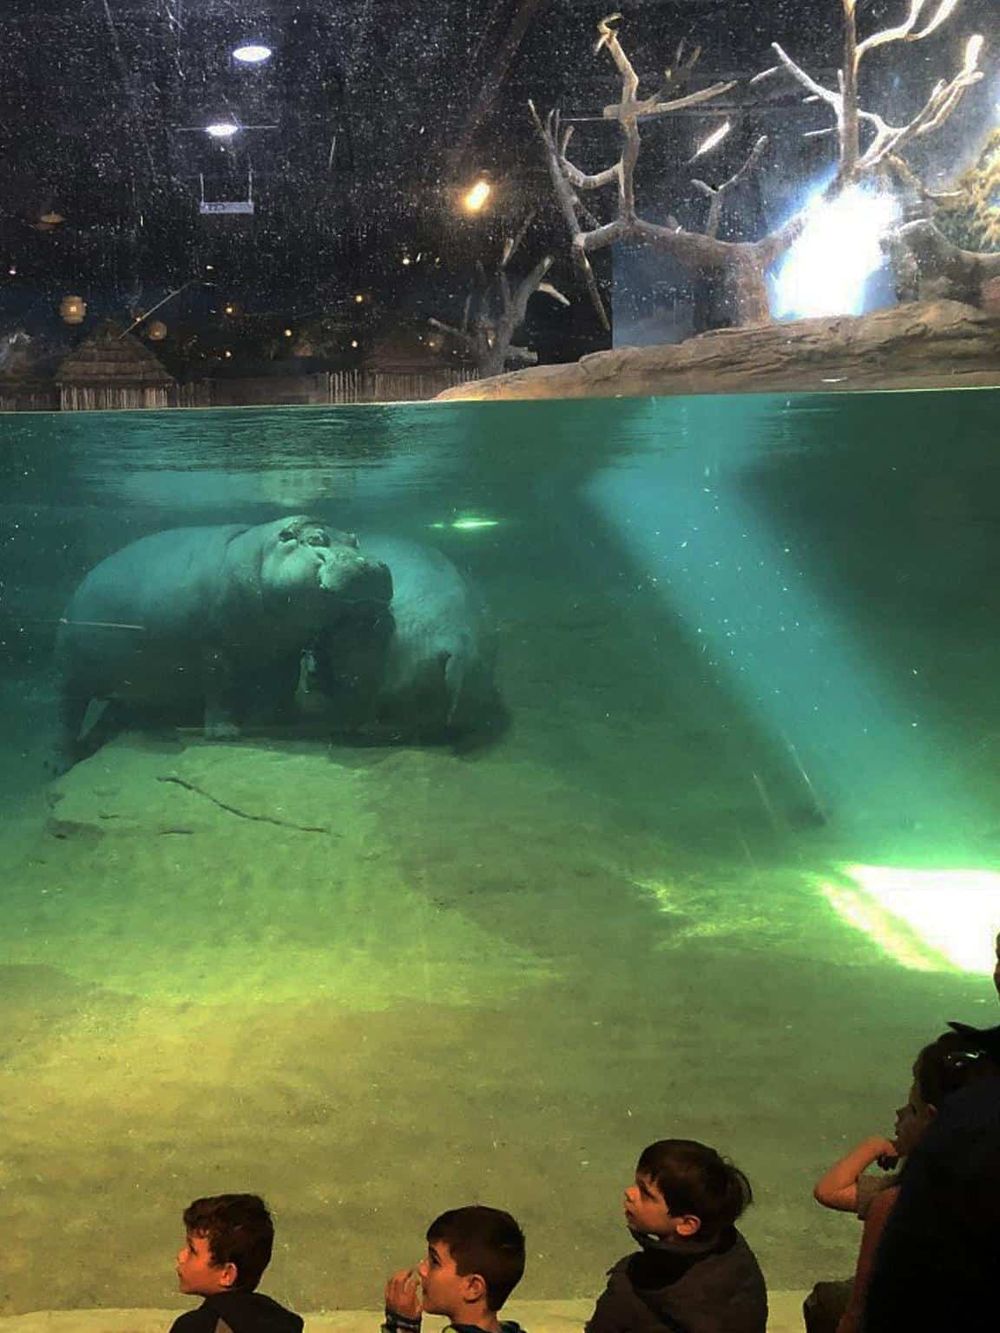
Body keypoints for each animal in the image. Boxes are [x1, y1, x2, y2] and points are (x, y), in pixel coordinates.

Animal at [54, 515, 392, 766]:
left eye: (355, 539)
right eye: (316, 539)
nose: (373, 565)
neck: (263, 554)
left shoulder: (283, 650)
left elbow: (281, 686)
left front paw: (276, 720)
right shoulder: (215, 649)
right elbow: (221, 688)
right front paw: (226, 735)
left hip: (127, 685)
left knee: (112, 710)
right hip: (71, 676)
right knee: (68, 715)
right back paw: (68, 756)